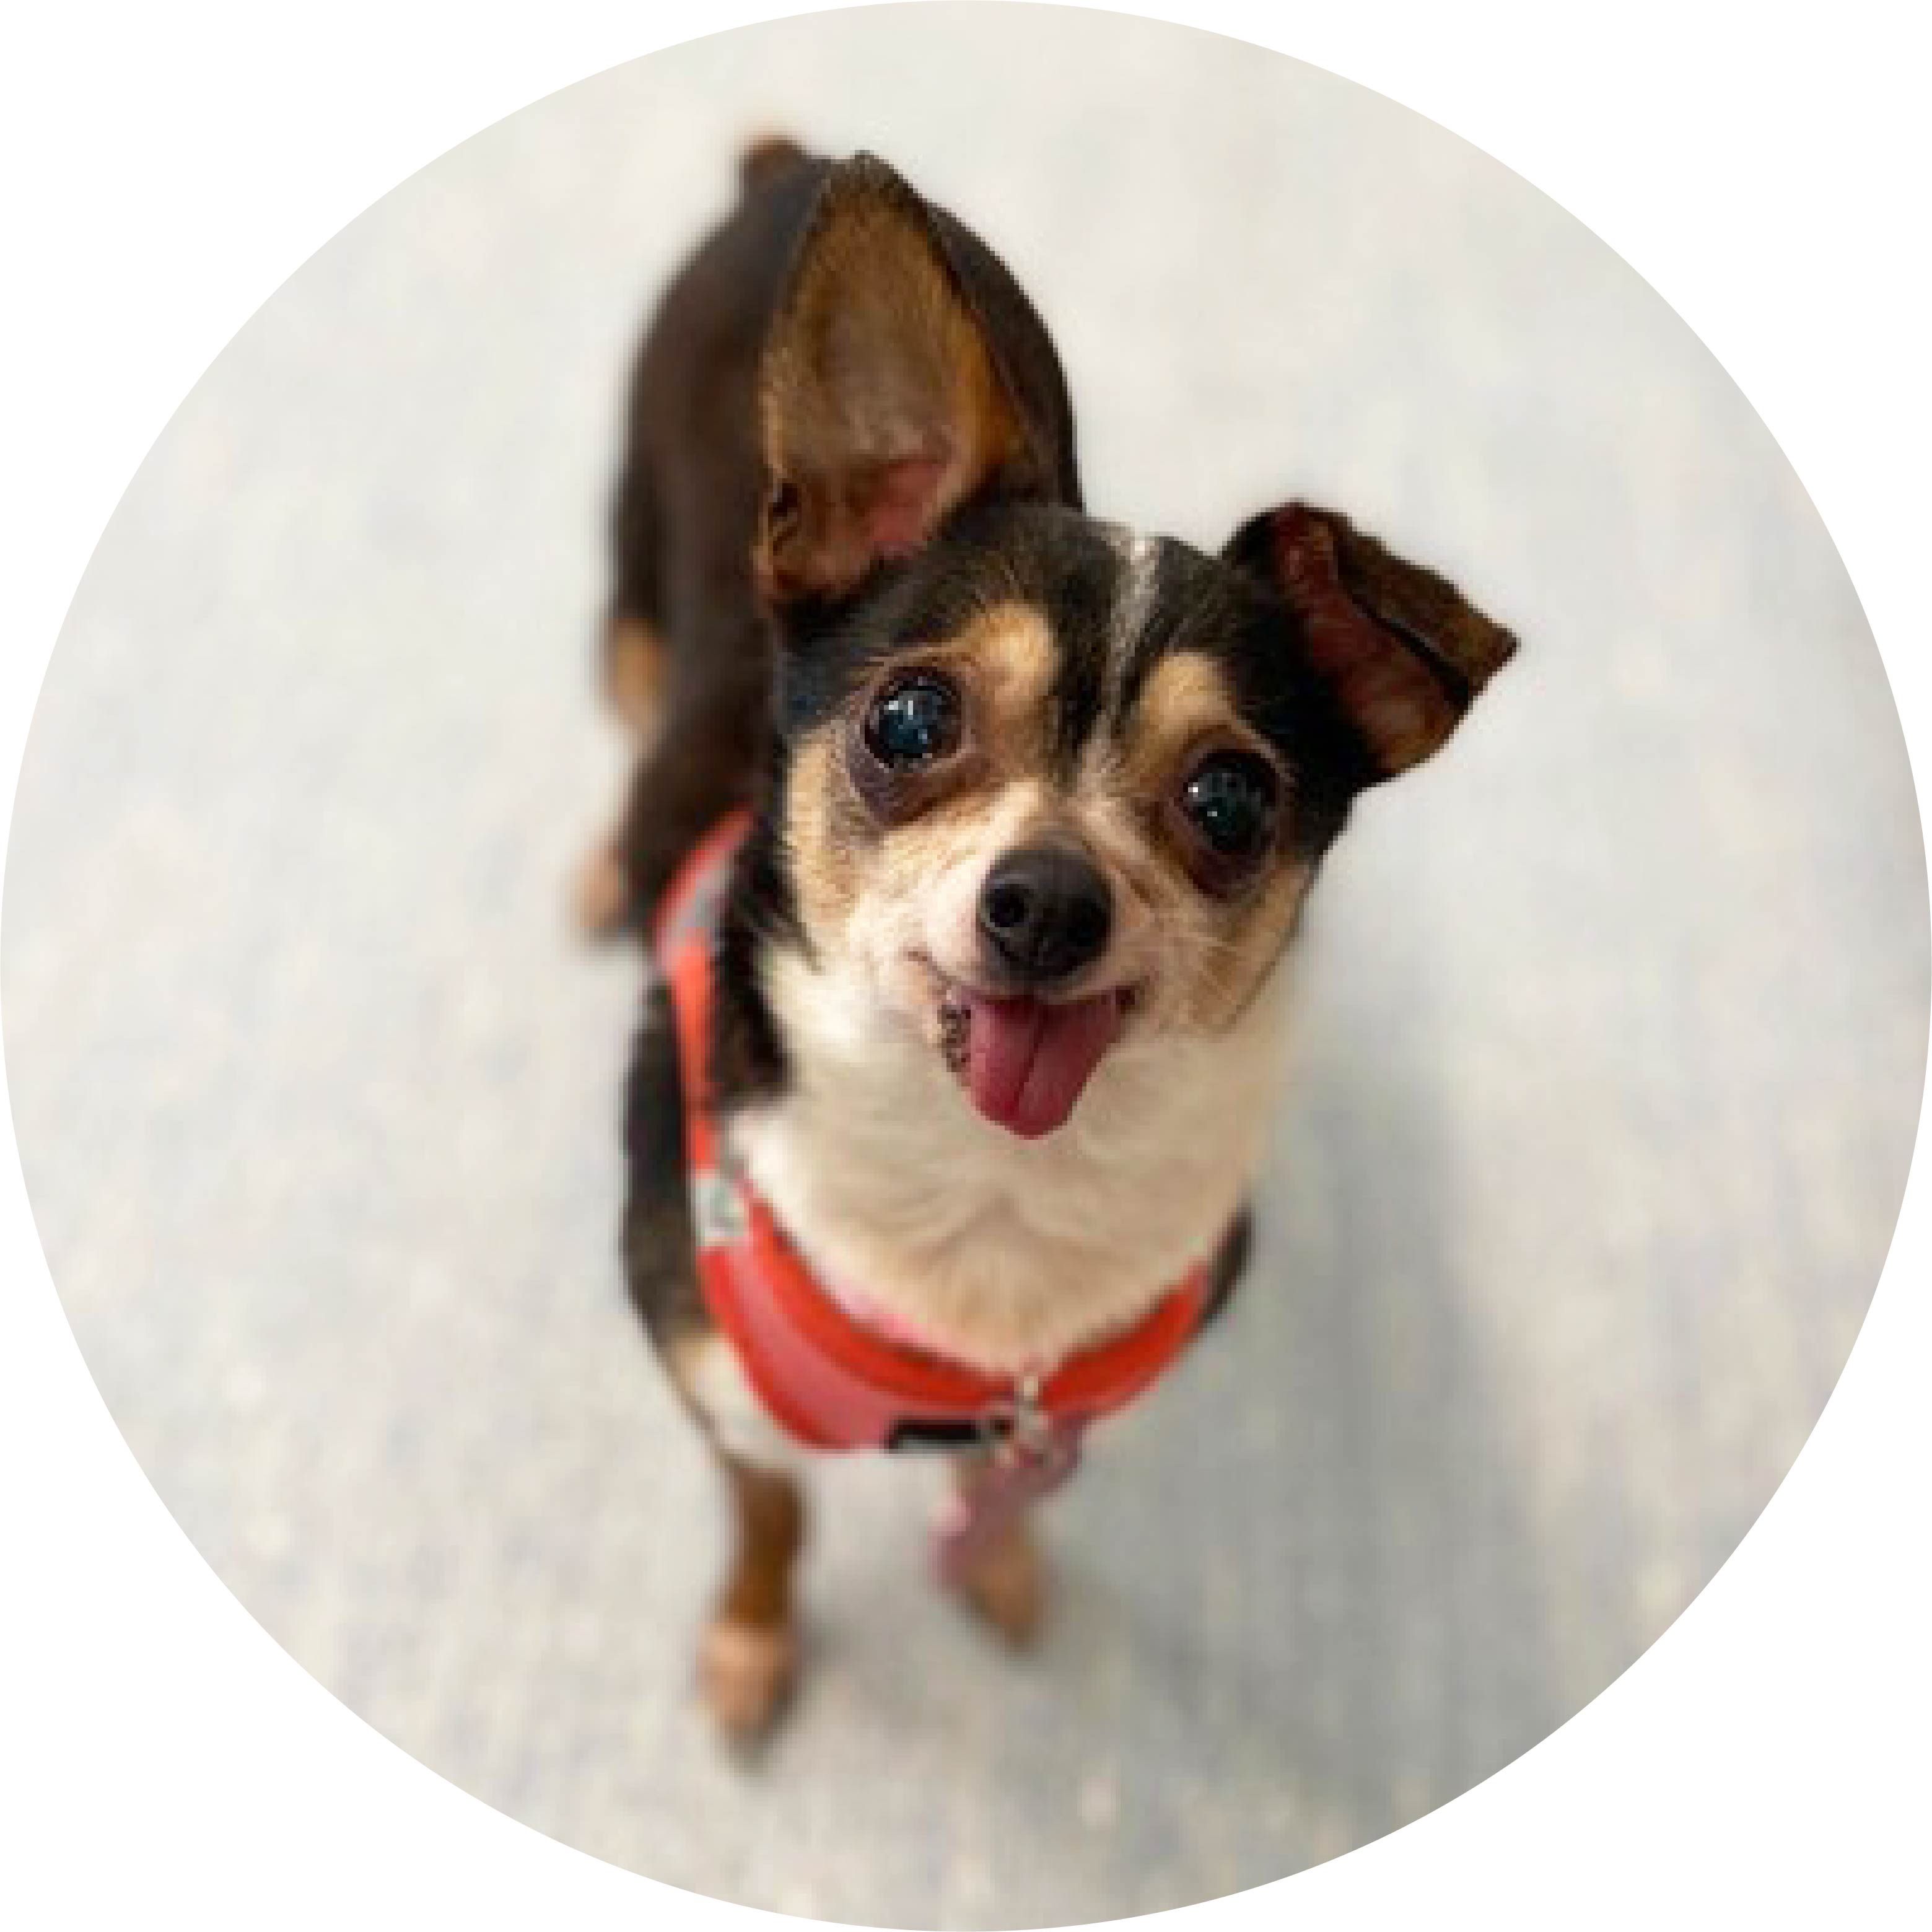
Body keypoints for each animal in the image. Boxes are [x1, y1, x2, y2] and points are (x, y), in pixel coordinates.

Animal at [590, 137, 1516, 1740]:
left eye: (1229, 799)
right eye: (908, 720)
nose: (1048, 899)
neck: (984, 1184)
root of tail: (789, 166)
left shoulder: (1054, 1414)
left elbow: (1011, 1490)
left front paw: (999, 1565)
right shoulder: (716, 1391)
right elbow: (772, 1517)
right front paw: (753, 1635)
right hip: (637, 537)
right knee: (623, 656)